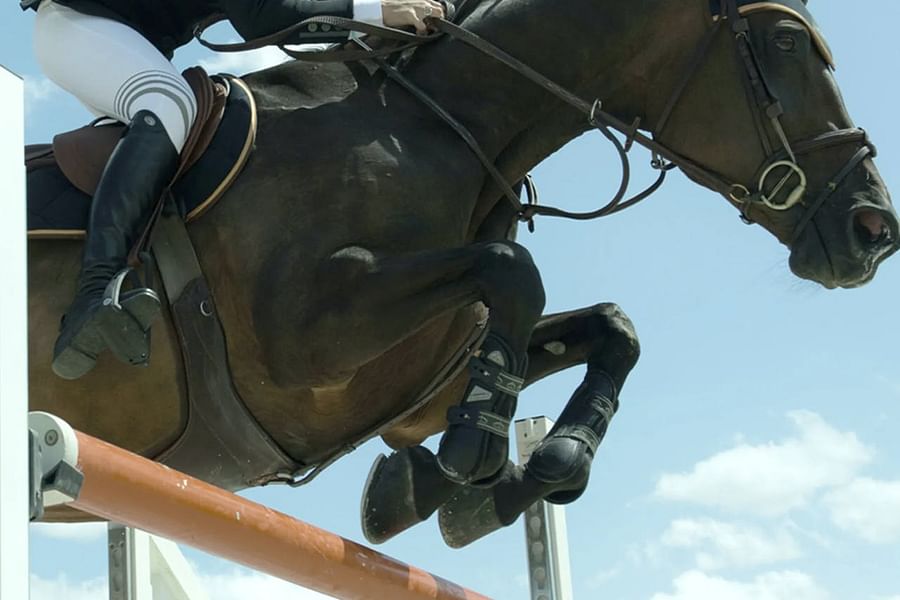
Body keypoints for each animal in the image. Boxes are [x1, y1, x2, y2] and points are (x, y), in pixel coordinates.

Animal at [26, 0, 898, 548]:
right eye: (785, 42)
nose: (874, 231)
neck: (441, 131)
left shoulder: (413, 388)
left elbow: (610, 327)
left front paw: (524, 470)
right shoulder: (300, 345)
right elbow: (514, 269)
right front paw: (475, 452)